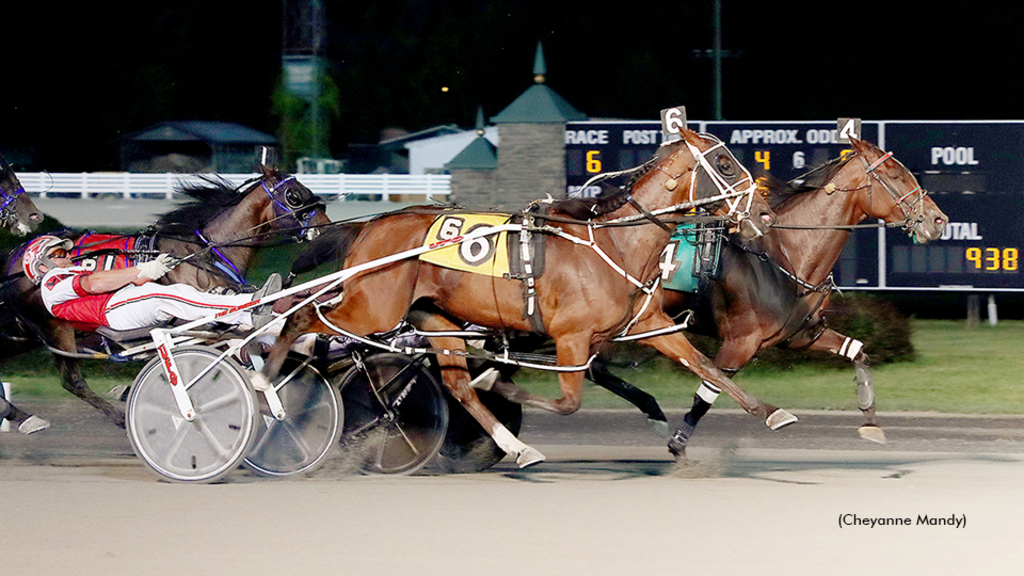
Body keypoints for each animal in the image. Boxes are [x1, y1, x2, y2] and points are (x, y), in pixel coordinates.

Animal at [0, 163, 327, 428]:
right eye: (294, 196)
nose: (326, 229)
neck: (204, 253)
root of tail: (12, 258)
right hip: (55, 330)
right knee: (73, 382)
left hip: (23, 335)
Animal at [260, 127, 778, 463]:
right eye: (725, 163)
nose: (766, 215)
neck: (615, 243)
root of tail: (370, 226)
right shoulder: (571, 338)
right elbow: (568, 402)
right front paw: (500, 381)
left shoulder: (648, 325)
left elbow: (707, 366)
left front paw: (772, 413)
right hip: (372, 308)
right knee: (302, 320)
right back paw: (267, 385)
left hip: (435, 319)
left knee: (456, 386)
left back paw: (517, 446)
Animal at [593, 135, 950, 453]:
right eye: (894, 173)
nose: (939, 219)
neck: (783, 254)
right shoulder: (740, 342)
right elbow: (709, 388)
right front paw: (679, 443)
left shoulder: (800, 334)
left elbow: (858, 350)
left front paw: (871, 421)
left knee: (597, 369)